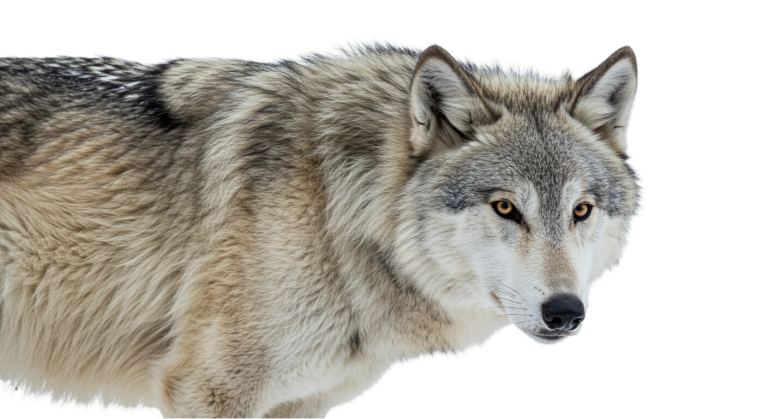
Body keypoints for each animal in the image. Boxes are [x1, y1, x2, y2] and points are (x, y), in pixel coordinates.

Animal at [0, 38, 645, 418]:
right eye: (506, 208)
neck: (338, 210)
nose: (565, 311)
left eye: (581, 211)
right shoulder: (209, 389)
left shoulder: (299, 403)